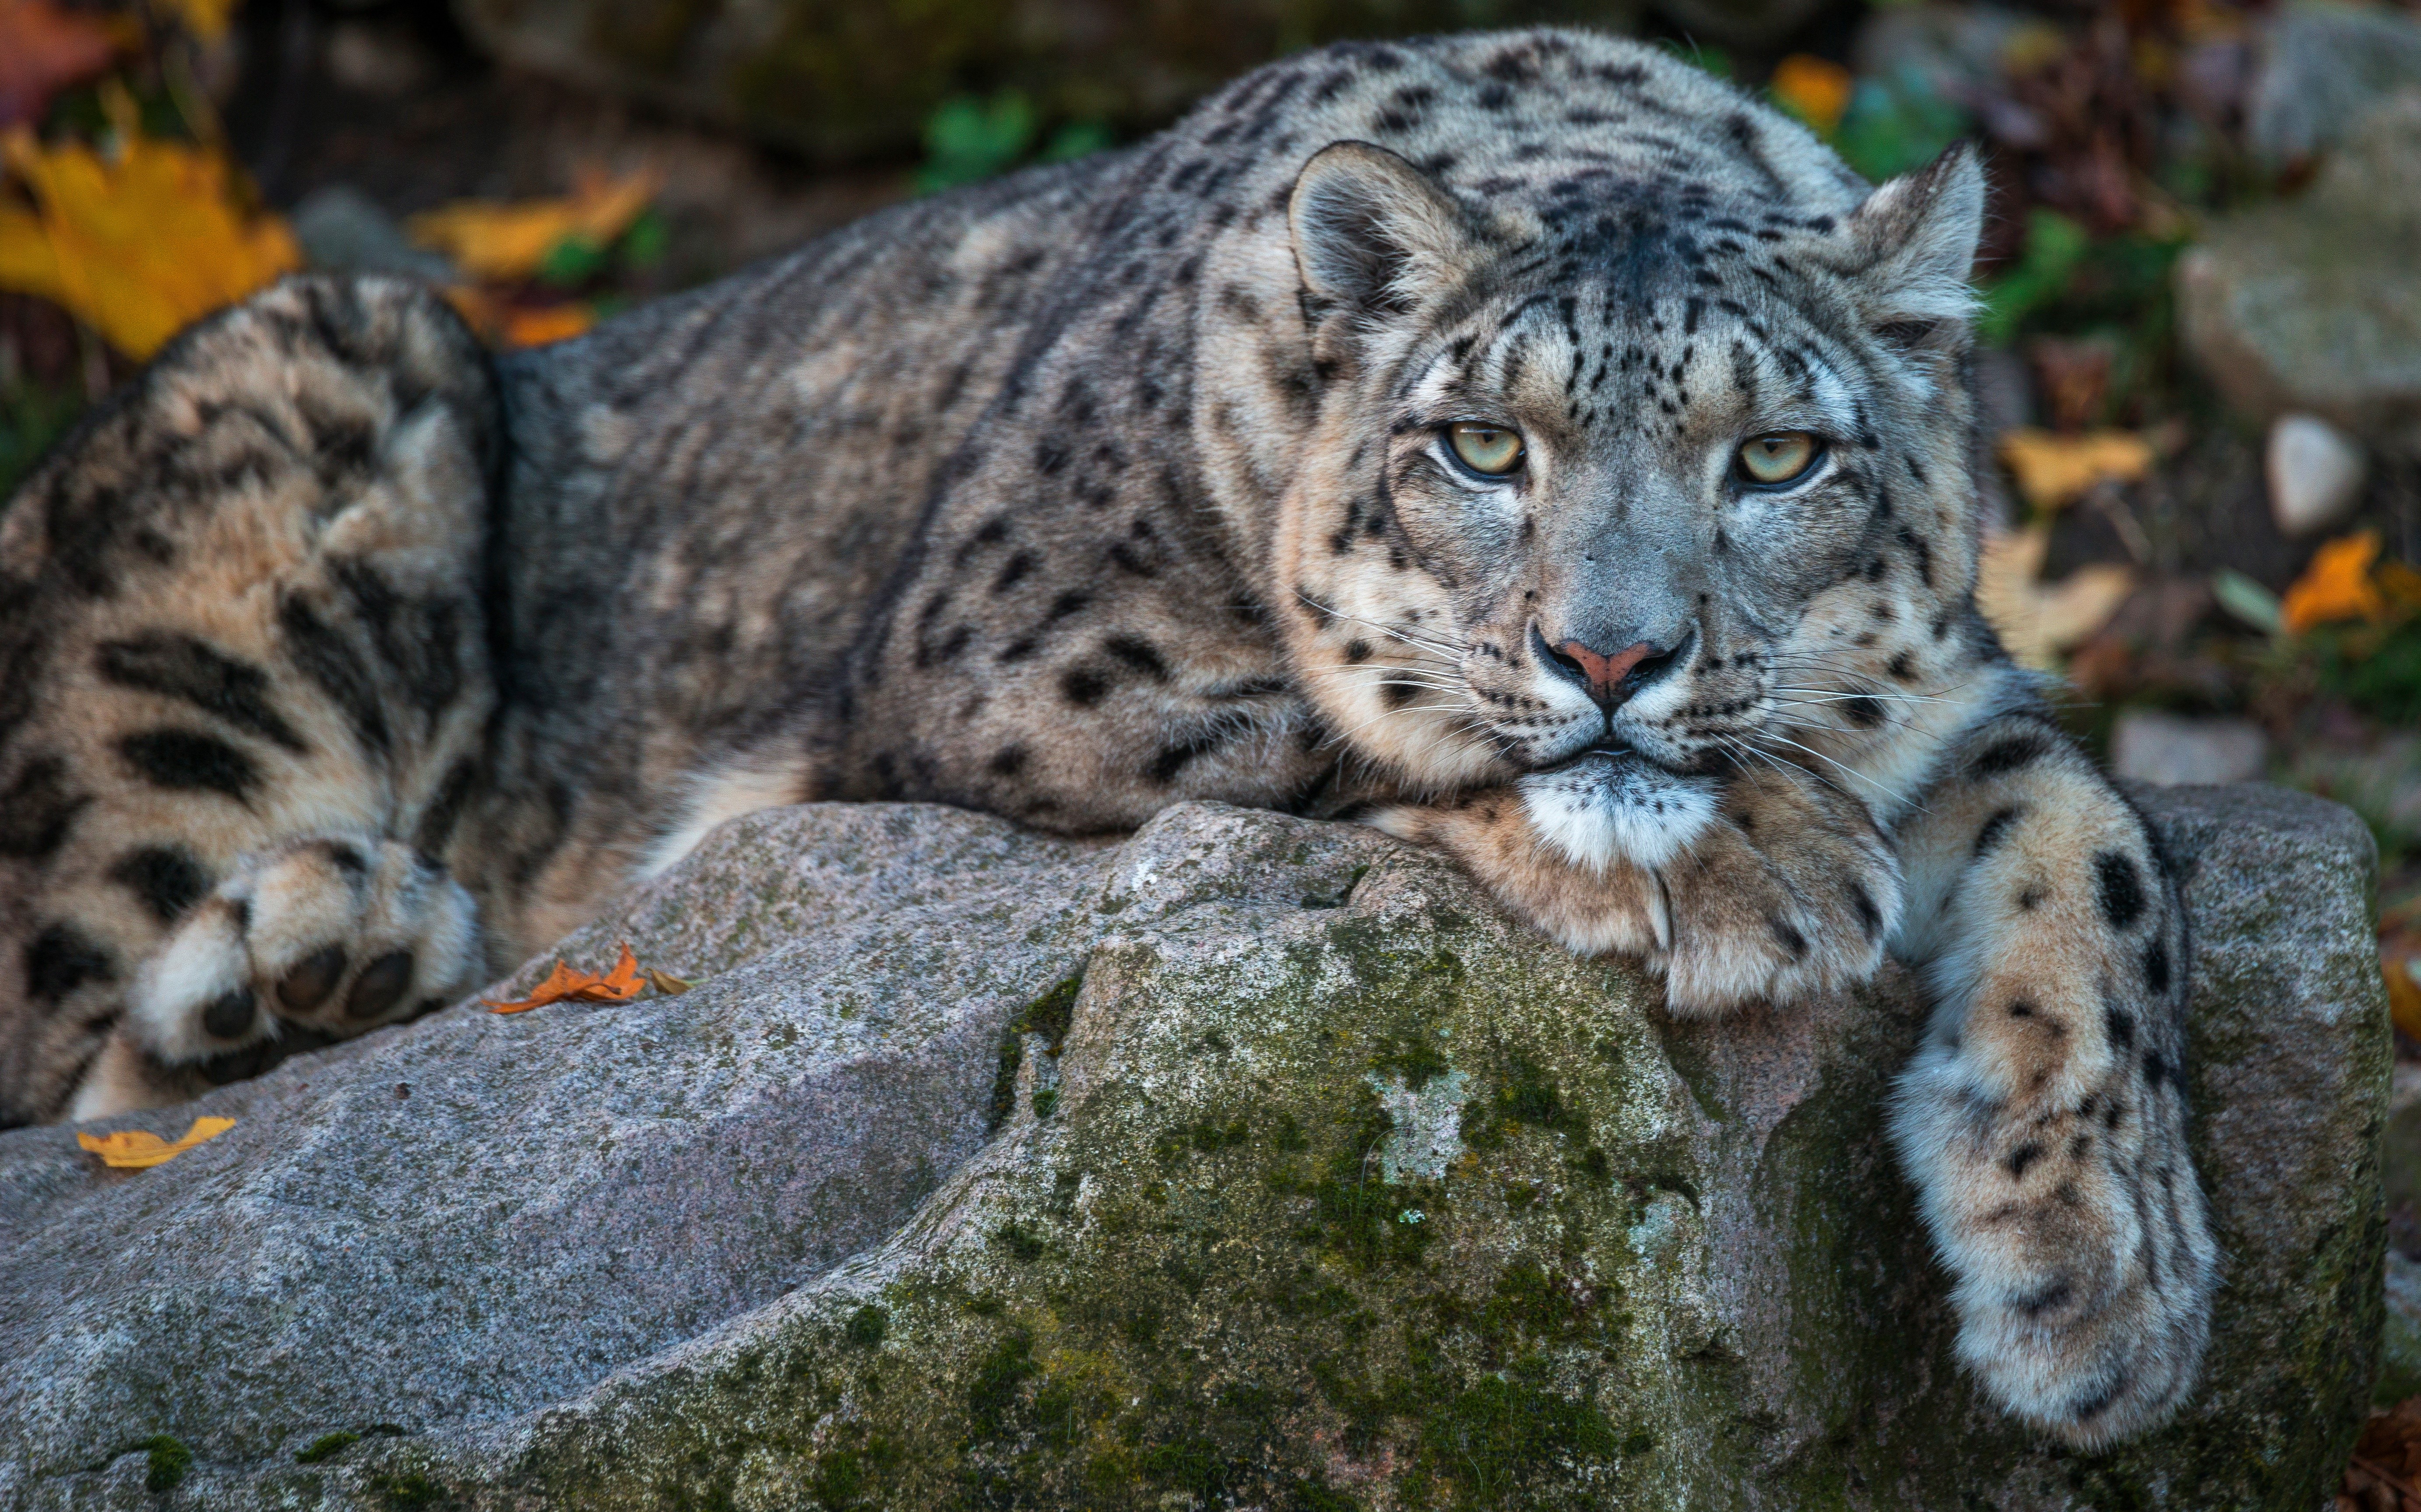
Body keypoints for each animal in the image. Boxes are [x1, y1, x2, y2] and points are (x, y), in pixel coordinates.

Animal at [0, 27, 2215, 1447]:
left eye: (1776, 457)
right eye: (1477, 444)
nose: (1613, 653)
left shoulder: (1959, 692)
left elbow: (2091, 826)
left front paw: (2101, 1271)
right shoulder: (1021, 654)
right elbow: (1354, 717)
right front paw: (1758, 859)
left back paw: (318, 967)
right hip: (278, 459)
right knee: (61, 1069)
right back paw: (306, 948)